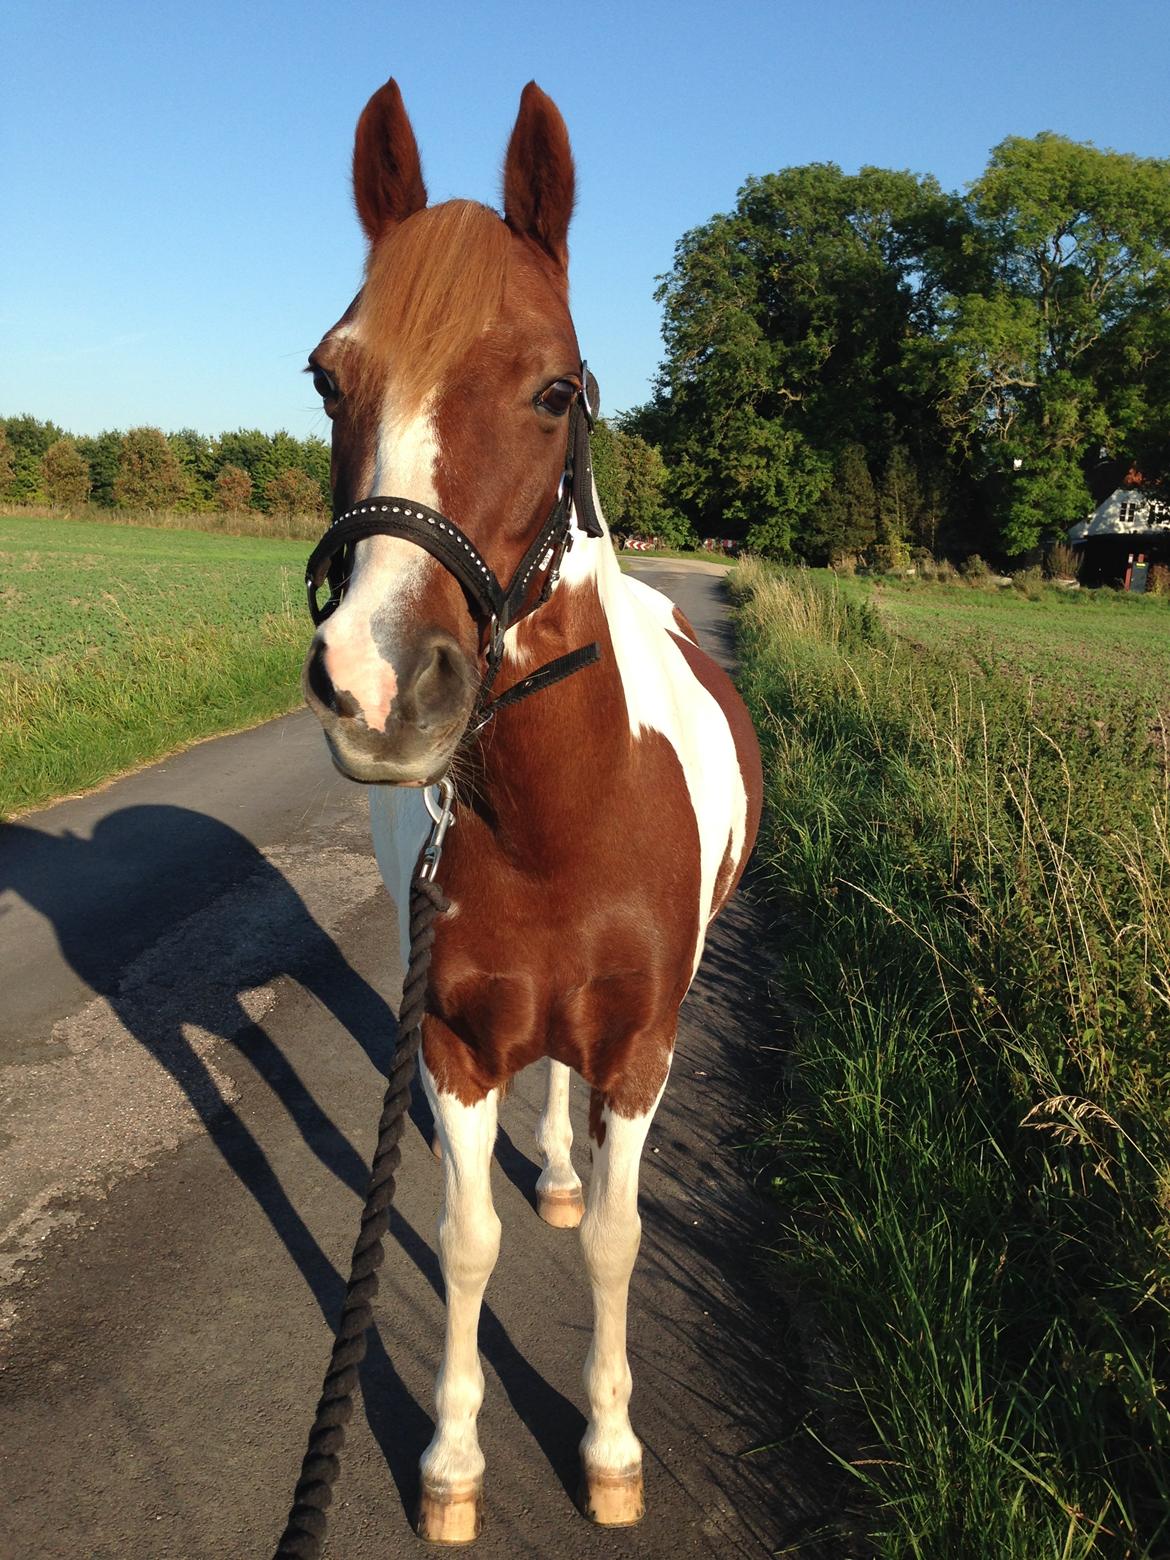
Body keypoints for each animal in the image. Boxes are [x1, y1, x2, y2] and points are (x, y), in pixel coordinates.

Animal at [297, 76, 764, 1547]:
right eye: (328, 376)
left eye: (556, 390)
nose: (379, 684)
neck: (566, 822)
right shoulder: (451, 1043)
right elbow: (462, 1243)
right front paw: (451, 1462)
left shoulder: (641, 1047)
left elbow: (617, 1240)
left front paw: (608, 1447)